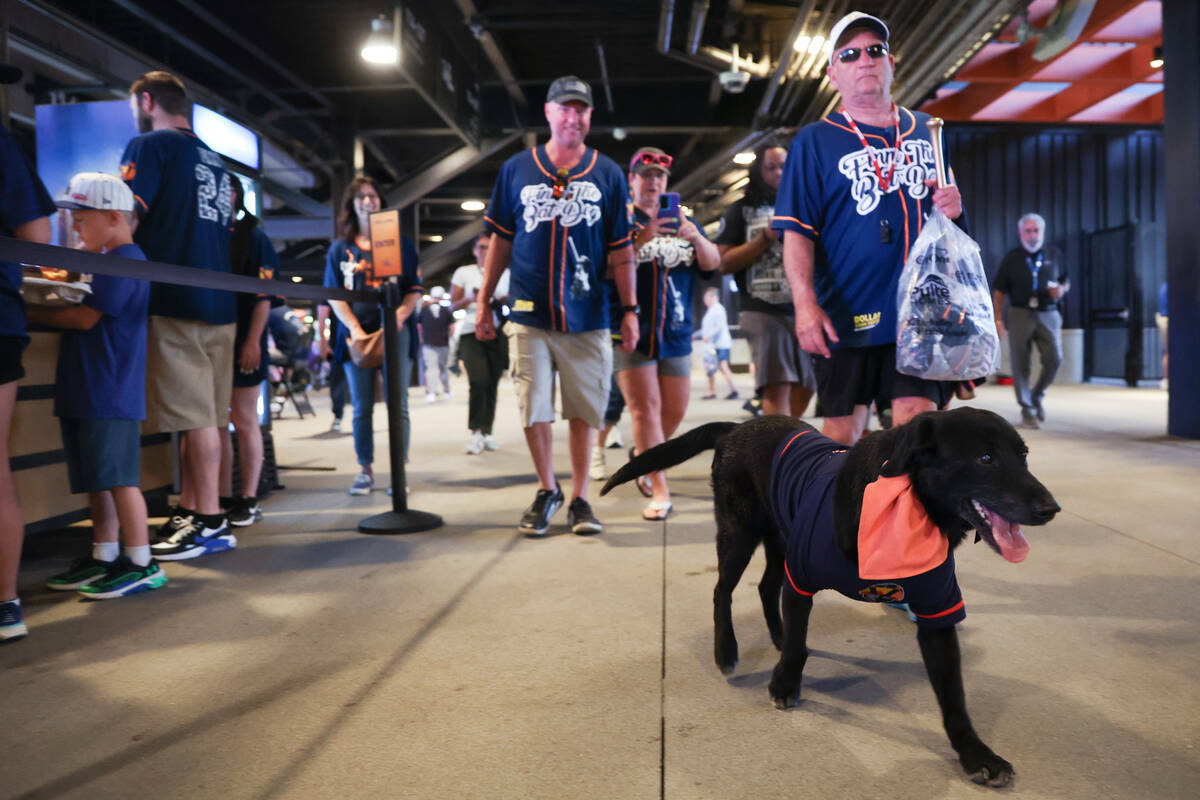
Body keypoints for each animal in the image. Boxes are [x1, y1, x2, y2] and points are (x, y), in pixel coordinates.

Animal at [604, 410, 1065, 786]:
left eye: (1024, 456)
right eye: (985, 459)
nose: (1051, 509)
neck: (903, 511)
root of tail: (737, 427)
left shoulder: (937, 609)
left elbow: (954, 697)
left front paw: (976, 755)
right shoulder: (803, 577)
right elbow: (797, 649)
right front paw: (784, 684)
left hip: (781, 537)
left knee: (766, 587)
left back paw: (774, 635)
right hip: (740, 534)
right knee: (723, 592)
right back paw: (727, 650)